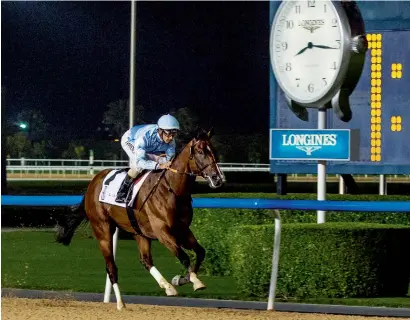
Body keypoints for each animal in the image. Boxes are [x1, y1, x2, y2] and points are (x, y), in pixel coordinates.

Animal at [54, 128, 224, 310]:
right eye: (200, 151)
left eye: (214, 151)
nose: (217, 178)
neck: (172, 190)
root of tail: (93, 183)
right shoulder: (163, 232)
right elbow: (184, 256)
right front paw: (194, 281)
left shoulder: (182, 230)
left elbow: (200, 252)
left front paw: (181, 279)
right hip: (103, 229)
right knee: (111, 268)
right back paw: (120, 303)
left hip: (139, 232)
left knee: (145, 260)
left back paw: (167, 286)